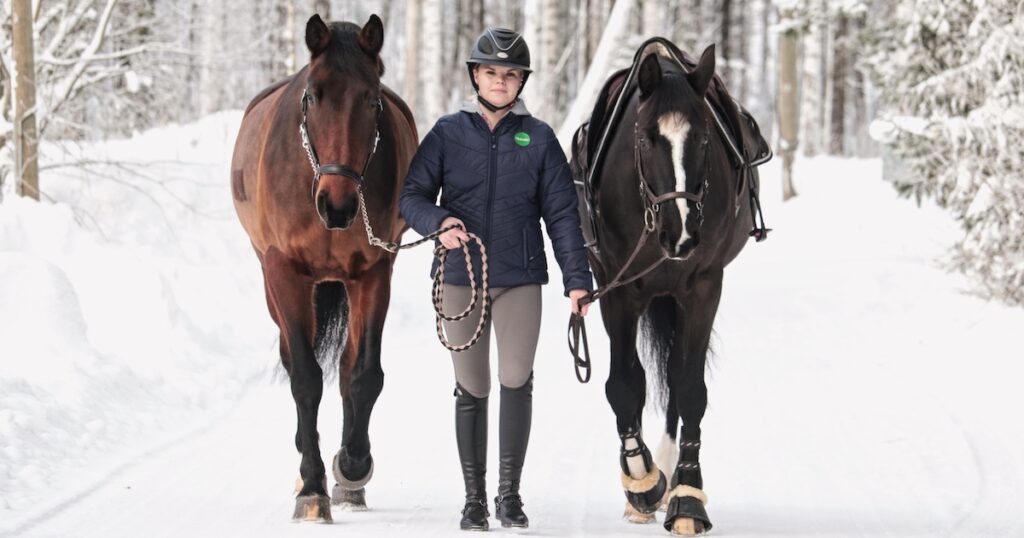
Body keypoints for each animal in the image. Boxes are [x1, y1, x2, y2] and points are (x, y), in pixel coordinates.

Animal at [231, 13, 415, 524]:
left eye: (372, 99)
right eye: (312, 96)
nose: (337, 205)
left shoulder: (374, 271)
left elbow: (363, 374)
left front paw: (351, 466)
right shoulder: (285, 273)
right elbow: (306, 377)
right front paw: (312, 488)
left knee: (349, 366)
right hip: (275, 283)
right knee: (293, 358)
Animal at [573, 40, 765, 532]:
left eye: (703, 139)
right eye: (644, 138)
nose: (679, 233)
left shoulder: (702, 288)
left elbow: (689, 387)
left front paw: (687, 499)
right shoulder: (617, 290)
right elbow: (625, 385)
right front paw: (642, 484)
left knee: (677, 378)